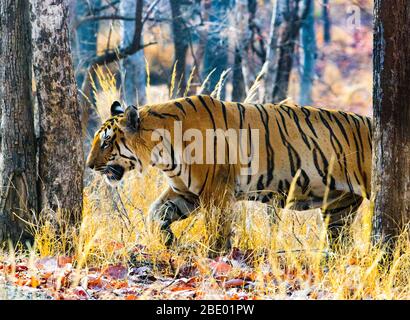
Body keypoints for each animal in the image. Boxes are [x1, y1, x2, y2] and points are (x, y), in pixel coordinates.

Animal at [86, 94, 372, 255]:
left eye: (107, 142)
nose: (88, 165)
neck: (161, 152)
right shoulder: (185, 191)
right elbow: (155, 212)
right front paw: (167, 240)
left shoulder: (215, 190)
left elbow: (217, 226)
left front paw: (216, 254)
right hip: (339, 205)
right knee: (340, 241)